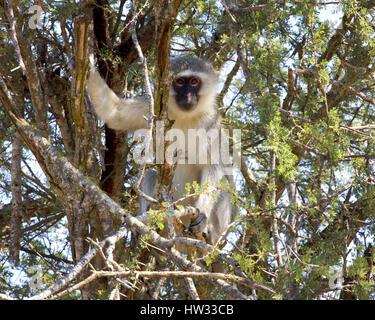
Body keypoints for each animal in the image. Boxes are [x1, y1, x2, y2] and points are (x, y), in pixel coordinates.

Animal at [86, 55, 236, 245]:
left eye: (194, 82)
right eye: (180, 82)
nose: (187, 96)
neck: (184, 116)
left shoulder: (211, 122)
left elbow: (214, 167)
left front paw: (202, 213)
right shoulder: (152, 109)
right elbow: (115, 113)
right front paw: (87, 64)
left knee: (224, 184)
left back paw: (208, 233)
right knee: (151, 174)